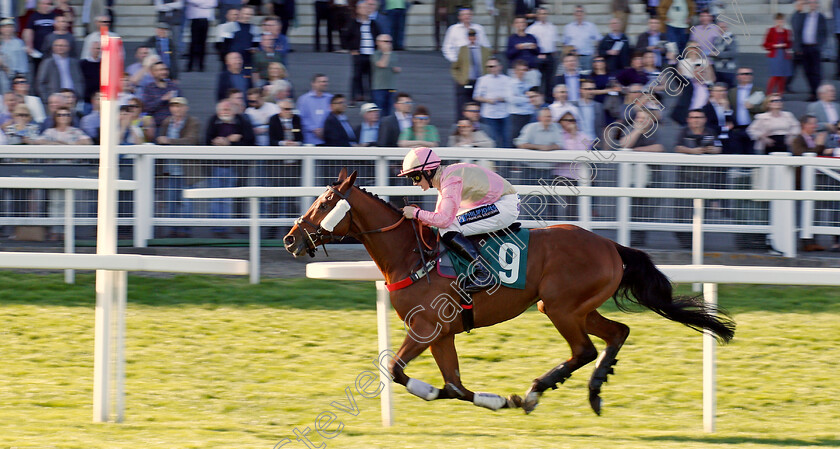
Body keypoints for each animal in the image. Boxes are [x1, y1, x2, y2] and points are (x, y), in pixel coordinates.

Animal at [284, 170, 736, 414]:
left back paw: (538, 390)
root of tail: (612, 246)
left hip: (559, 306)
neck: (411, 256)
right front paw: (496, 400)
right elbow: (455, 387)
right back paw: (592, 390)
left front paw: (438, 392)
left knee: (585, 349)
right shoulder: (442, 334)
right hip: (575, 307)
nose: (291, 239)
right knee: (617, 333)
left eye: (324, 203)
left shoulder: (426, 328)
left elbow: (396, 370)